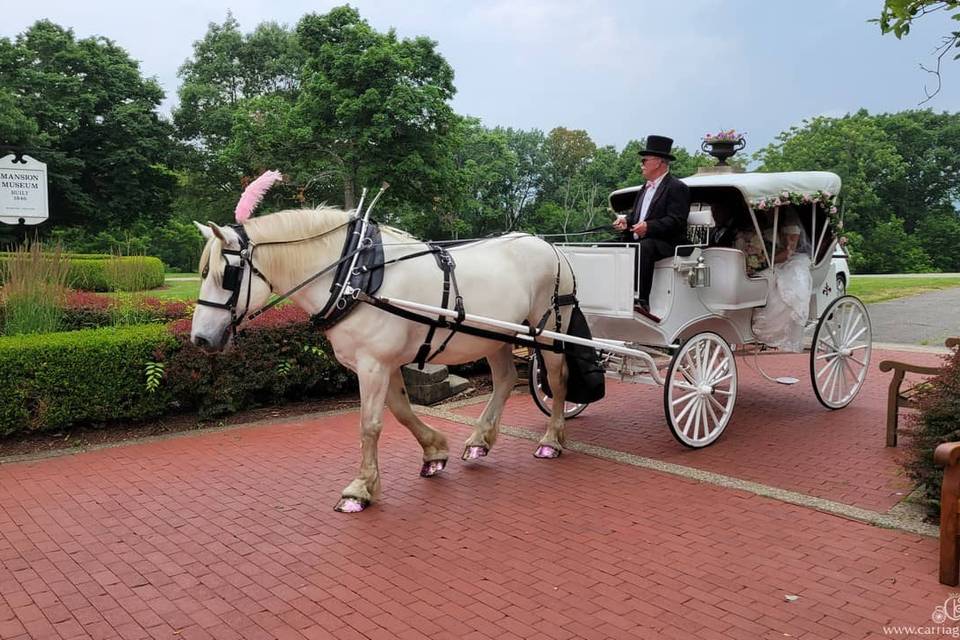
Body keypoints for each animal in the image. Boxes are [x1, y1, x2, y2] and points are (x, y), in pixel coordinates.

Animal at [191, 208, 572, 512]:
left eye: (226, 274)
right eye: (202, 272)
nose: (200, 338)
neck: (353, 278)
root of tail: (550, 246)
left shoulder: (373, 364)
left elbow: (369, 425)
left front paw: (360, 489)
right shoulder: (383, 364)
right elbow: (402, 412)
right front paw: (434, 452)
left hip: (551, 329)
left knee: (556, 378)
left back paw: (551, 440)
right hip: (494, 337)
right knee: (505, 379)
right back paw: (480, 440)